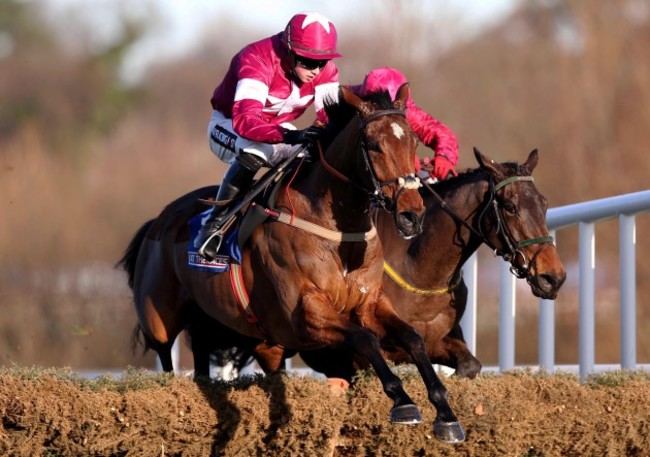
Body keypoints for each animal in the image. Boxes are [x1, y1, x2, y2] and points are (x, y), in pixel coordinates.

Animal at [120, 86, 466, 442]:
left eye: (413, 143)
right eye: (373, 145)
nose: (412, 215)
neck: (337, 231)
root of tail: (158, 220)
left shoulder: (370, 305)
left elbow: (412, 337)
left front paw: (445, 413)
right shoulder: (306, 315)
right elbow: (365, 339)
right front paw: (403, 402)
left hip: (223, 327)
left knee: (205, 357)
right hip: (159, 319)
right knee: (165, 357)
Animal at [181, 147, 560, 382]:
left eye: (543, 203)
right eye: (509, 206)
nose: (553, 277)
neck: (422, 269)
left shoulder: (438, 338)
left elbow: (469, 365)